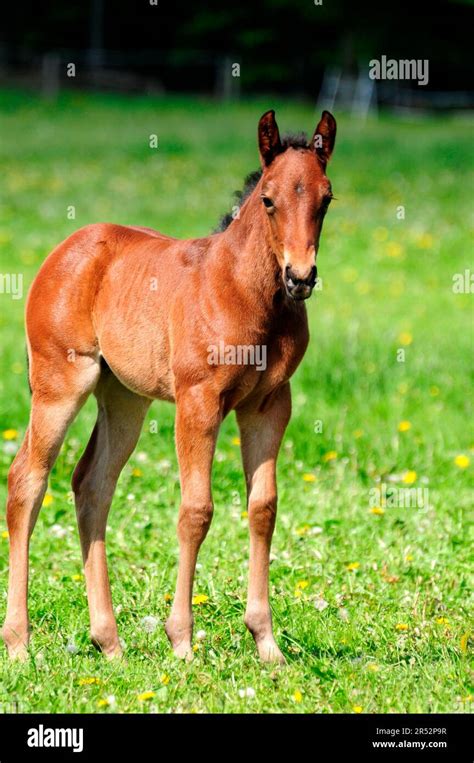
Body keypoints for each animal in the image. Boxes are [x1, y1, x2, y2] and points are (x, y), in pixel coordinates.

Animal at [3, 107, 336, 664]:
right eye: (268, 200)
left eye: (326, 199)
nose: (300, 276)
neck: (243, 292)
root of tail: (64, 249)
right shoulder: (198, 401)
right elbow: (196, 510)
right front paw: (181, 640)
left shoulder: (269, 404)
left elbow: (263, 508)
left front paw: (266, 642)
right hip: (59, 384)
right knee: (27, 480)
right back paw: (20, 642)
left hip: (124, 398)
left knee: (92, 484)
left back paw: (109, 641)